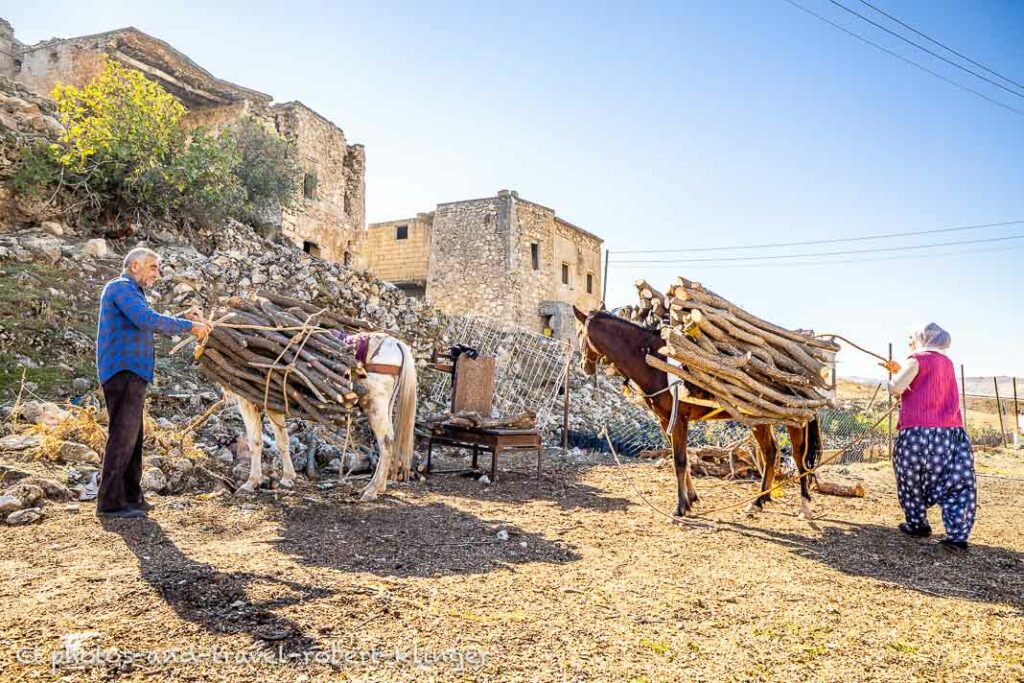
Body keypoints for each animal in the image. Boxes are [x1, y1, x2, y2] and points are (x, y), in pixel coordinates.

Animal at [226, 331, 417, 501]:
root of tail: (395, 343)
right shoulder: (272, 401)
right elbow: (282, 440)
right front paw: (287, 478)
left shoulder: (246, 400)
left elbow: (255, 442)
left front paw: (251, 483)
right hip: (384, 406)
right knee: (385, 443)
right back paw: (373, 486)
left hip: (376, 405)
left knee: (386, 441)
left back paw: (372, 491)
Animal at [577, 305, 823, 518]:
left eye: (580, 332)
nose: (584, 366)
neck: (652, 360)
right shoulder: (665, 420)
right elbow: (681, 459)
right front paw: (691, 499)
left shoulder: (678, 420)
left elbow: (680, 461)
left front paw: (680, 508)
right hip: (760, 419)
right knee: (771, 452)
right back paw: (758, 501)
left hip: (794, 421)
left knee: (799, 459)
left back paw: (804, 506)